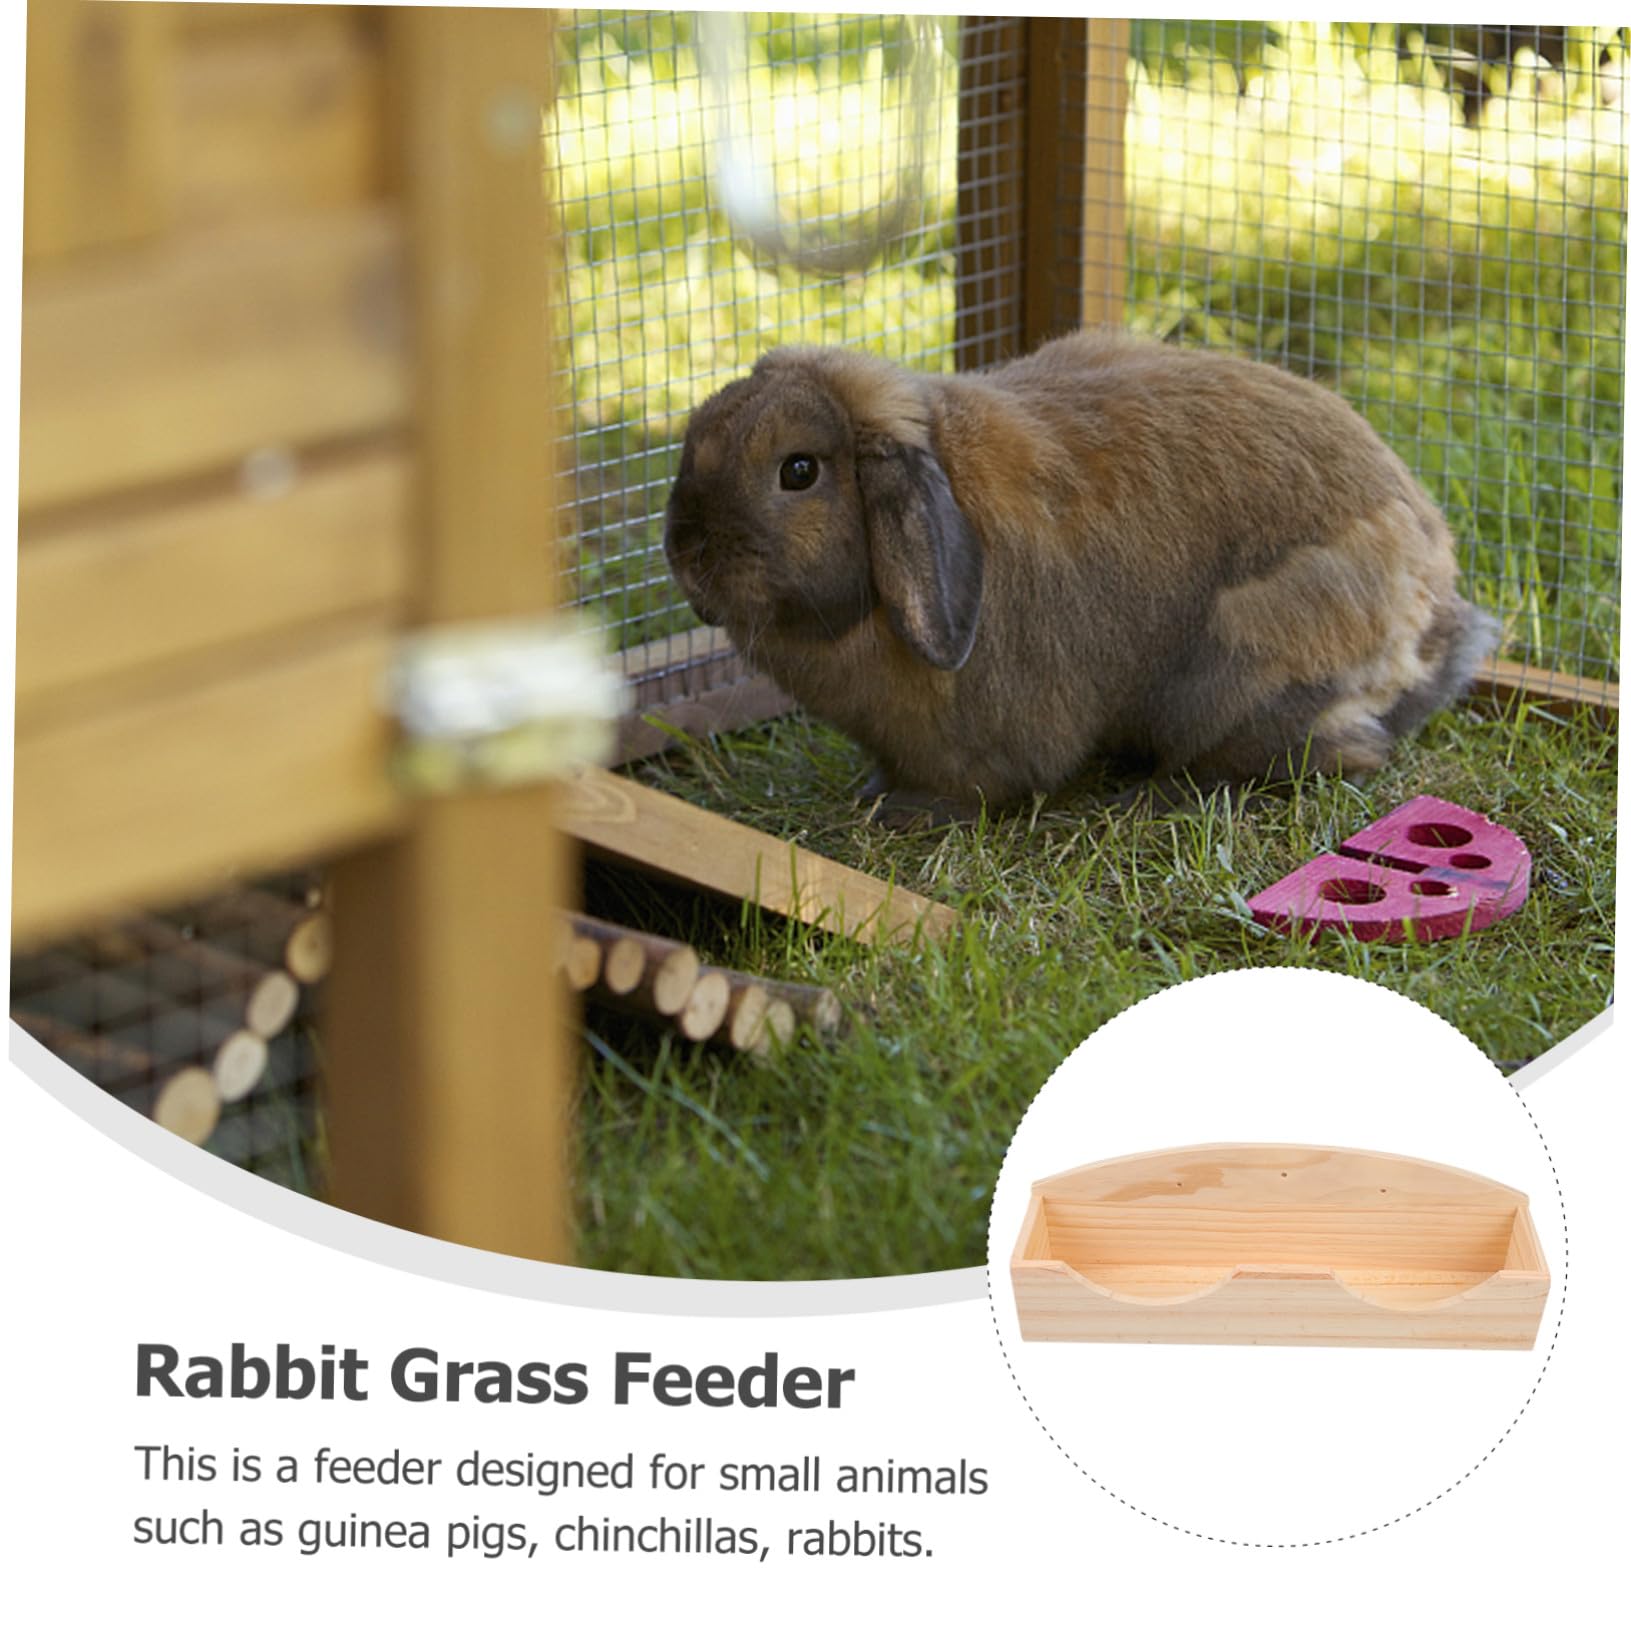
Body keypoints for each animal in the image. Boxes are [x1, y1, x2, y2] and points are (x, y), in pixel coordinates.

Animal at [663, 330, 1499, 826]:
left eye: (798, 470)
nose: (684, 553)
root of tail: (1433, 613)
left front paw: (904, 810)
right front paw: (872, 792)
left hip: (1245, 667)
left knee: (1341, 753)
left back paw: (1164, 791)